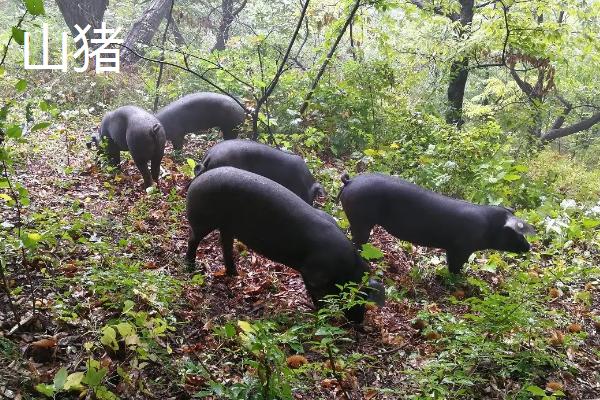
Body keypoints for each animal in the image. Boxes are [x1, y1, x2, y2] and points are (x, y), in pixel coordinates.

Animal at [186, 167, 384, 324]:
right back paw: (191, 268)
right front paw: (321, 314)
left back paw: (234, 273)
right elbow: (318, 296)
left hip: (227, 226)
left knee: (225, 245)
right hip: (203, 220)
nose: (359, 322)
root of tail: (197, 181)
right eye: (356, 296)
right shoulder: (313, 274)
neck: (346, 268)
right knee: (193, 239)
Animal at [338, 173, 536, 274]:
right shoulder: (461, 248)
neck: (488, 228)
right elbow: (455, 265)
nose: (528, 247)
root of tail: (350, 181)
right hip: (361, 220)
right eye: (516, 233)